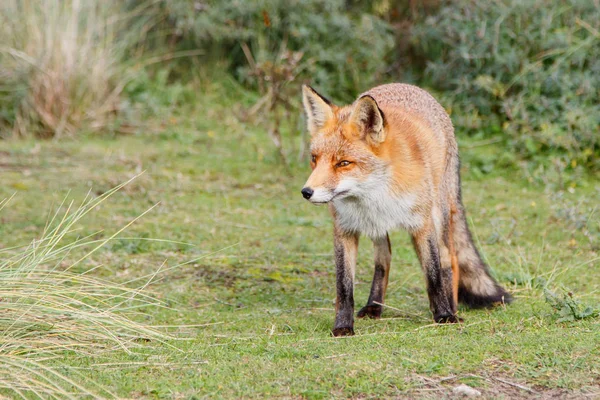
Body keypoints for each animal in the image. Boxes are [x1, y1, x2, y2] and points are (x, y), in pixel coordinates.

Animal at [300, 83, 510, 336]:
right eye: (314, 159)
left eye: (343, 163)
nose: (306, 192)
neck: (377, 195)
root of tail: (408, 86)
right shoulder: (344, 229)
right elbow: (344, 287)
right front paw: (342, 326)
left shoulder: (422, 224)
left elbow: (433, 275)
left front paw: (444, 315)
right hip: (376, 228)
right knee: (384, 258)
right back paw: (374, 306)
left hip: (439, 214)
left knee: (449, 259)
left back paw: (451, 306)